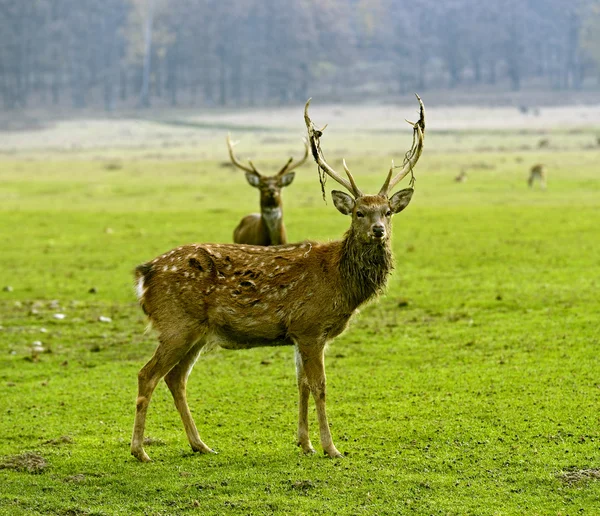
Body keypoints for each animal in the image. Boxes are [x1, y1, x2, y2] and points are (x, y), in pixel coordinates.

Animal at [129, 94, 424, 462]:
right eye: (359, 212)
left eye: (388, 211)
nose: (378, 231)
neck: (340, 284)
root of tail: (145, 274)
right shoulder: (311, 326)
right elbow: (320, 386)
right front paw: (331, 447)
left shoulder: (300, 332)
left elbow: (301, 385)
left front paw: (305, 443)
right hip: (175, 323)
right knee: (147, 375)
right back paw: (140, 450)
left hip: (196, 331)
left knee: (176, 379)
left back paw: (200, 444)